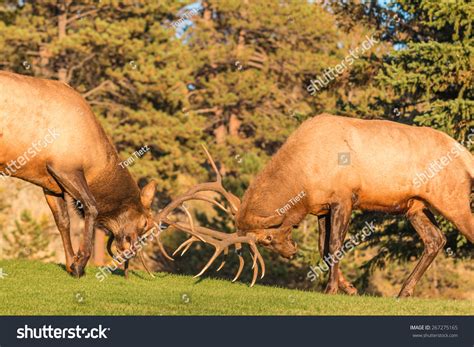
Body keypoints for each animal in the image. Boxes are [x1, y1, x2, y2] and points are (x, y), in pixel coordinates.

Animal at [0, 71, 160, 278]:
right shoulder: (65, 167)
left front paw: (70, 263)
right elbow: (91, 206)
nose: (130, 252)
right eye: (145, 223)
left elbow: (63, 221)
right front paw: (80, 263)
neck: (95, 165)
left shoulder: (50, 183)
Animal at [160, 113, 474, 296]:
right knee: (435, 239)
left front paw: (332, 289)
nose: (291, 251)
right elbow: (324, 249)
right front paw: (349, 287)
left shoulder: (344, 197)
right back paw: (403, 292)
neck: (304, 179)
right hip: (416, 205)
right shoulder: (322, 207)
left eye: (268, 238)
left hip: (452, 197)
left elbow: (335, 246)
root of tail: (464, 153)